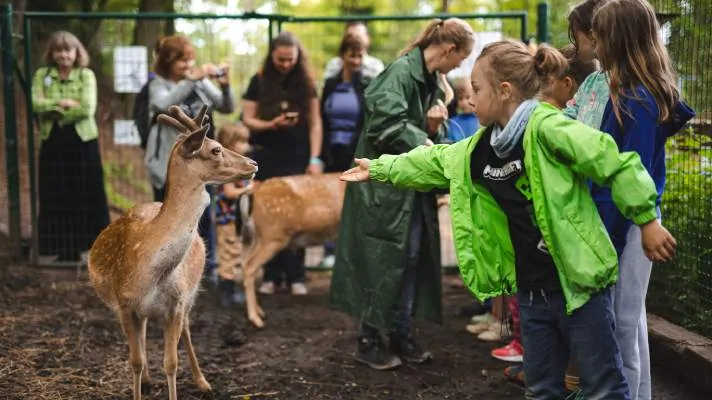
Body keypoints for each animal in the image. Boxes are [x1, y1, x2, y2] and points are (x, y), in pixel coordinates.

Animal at [86, 104, 258, 398]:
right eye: (215, 148)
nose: (253, 163)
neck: (150, 273)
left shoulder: (176, 304)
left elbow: (171, 363)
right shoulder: (125, 305)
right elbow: (135, 361)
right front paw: (139, 385)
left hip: (191, 293)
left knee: (187, 329)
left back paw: (202, 381)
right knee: (144, 337)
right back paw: (147, 380)